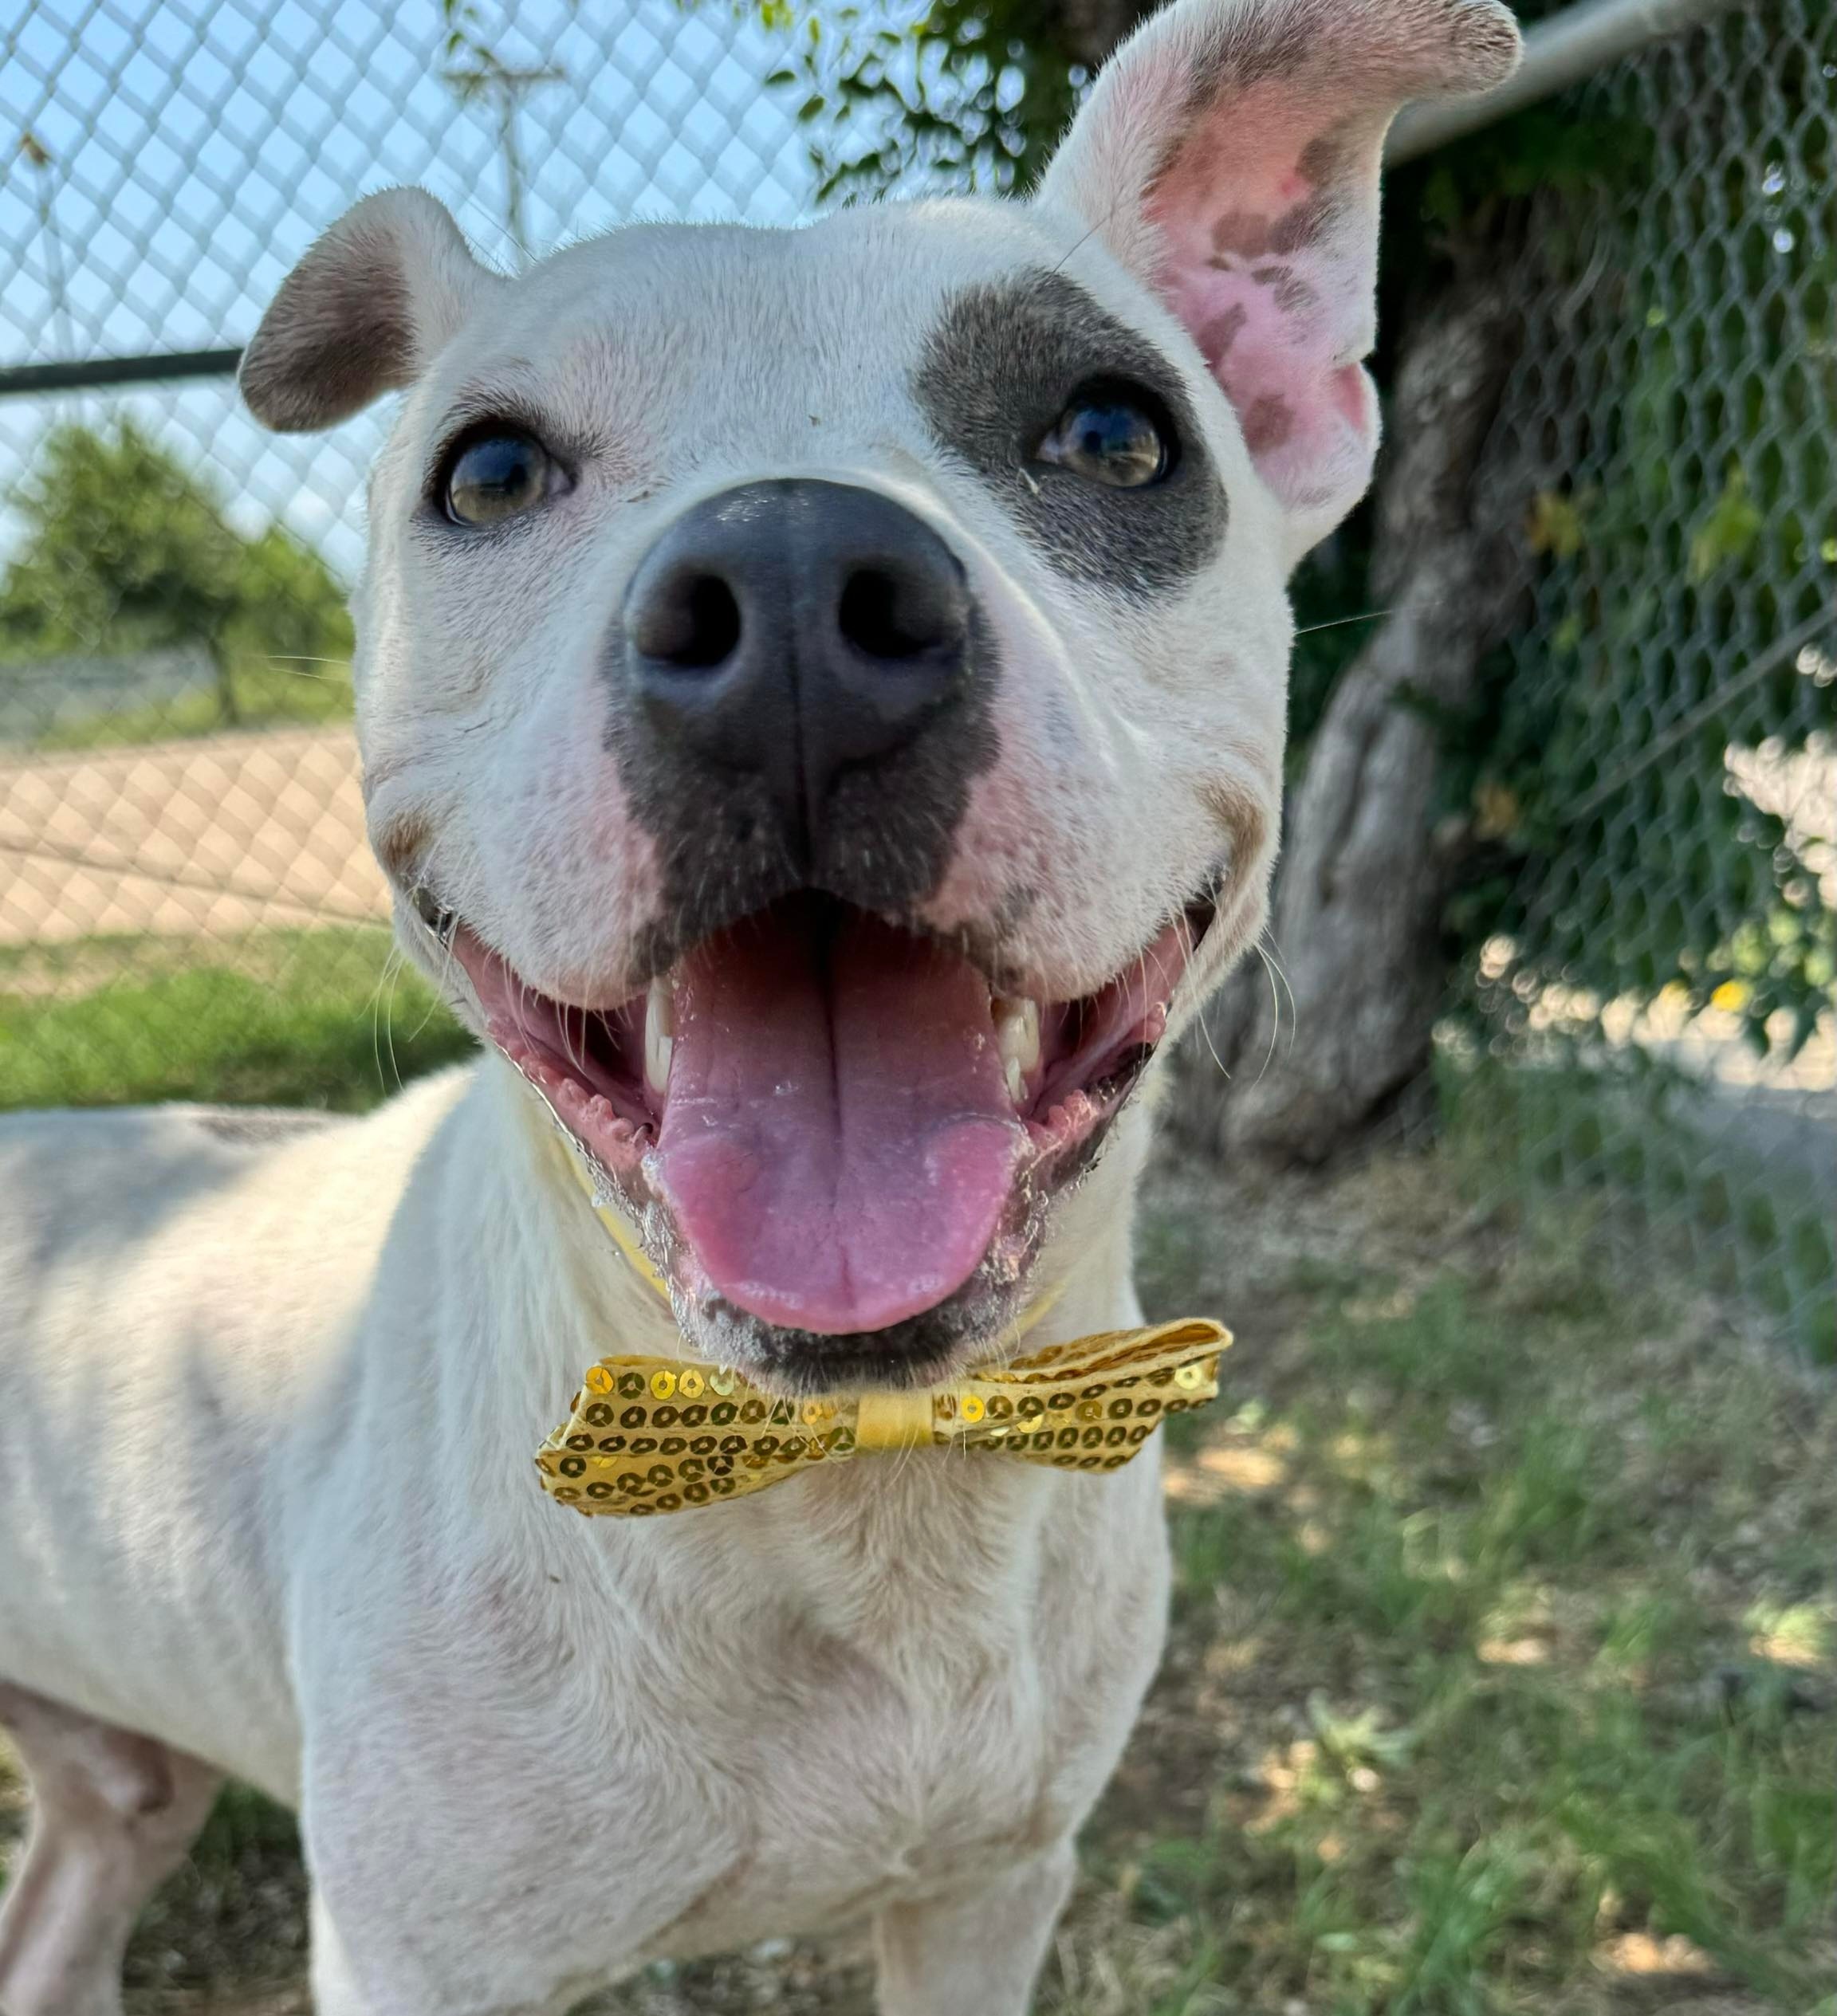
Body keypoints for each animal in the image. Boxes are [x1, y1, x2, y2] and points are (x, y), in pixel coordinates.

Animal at [0, 0, 1516, 2007]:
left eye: (1115, 433)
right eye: (488, 472)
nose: (794, 592)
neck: (843, 1484)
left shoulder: (991, 1894)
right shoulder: (424, 1960)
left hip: (119, 1789)